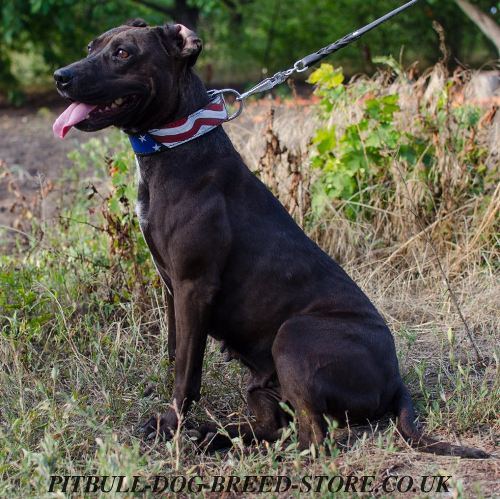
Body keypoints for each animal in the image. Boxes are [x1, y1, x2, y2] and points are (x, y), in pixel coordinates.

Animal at [53, 19, 488, 458]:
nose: (61, 76)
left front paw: (171, 425)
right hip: (263, 387)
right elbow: (176, 352)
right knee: (275, 427)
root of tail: (396, 379)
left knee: (313, 438)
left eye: (123, 53)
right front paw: (171, 419)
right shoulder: (173, 288)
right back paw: (215, 436)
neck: (177, 140)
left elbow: (186, 372)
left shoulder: (193, 286)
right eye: (91, 47)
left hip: (293, 337)